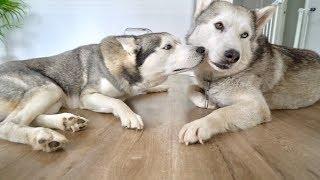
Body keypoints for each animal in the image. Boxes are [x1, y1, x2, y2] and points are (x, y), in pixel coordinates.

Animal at [0, 32, 205, 152]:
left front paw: (156, 87)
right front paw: (130, 115)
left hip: (54, 98)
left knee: (27, 118)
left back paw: (66, 121)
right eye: (168, 46)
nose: (202, 49)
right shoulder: (87, 96)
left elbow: (138, 91)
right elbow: (117, 101)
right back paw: (41, 137)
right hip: (50, 88)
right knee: (8, 125)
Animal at [179, 0, 318, 144]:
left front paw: (200, 124)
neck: (216, 77)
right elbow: (189, 89)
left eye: (244, 35)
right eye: (219, 25)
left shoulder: (257, 106)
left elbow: (222, 112)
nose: (233, 55)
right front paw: (205, 101)